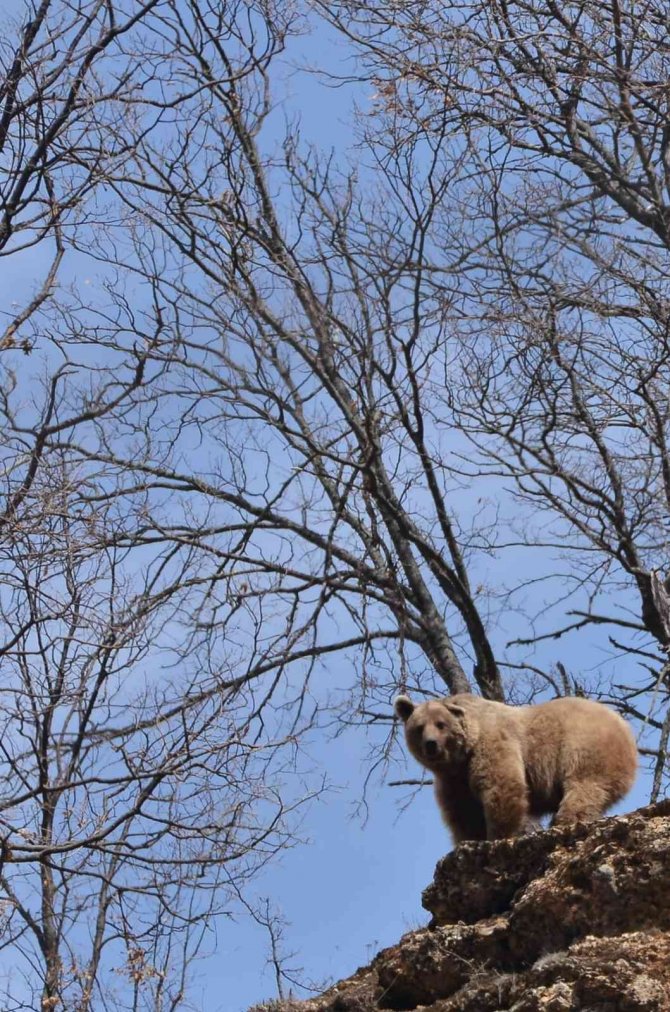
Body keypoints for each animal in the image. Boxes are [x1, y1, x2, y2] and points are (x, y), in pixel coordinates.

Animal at [396, 692, 639, 841]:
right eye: (419, 727)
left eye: (440, 724)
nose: (431, 744)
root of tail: (625, 727)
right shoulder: (453, 780)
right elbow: (463, 813)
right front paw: (469, 839)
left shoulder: (492, 744)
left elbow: (501, 787)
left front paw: (497, 836)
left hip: (584, 744)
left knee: (585, 786)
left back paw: (564, 821)